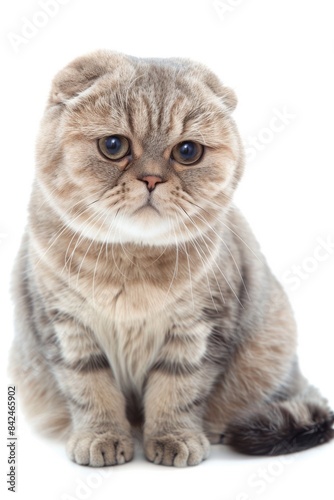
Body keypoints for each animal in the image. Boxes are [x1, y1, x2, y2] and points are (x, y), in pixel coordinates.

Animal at [8, 48, 334, 466]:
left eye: (187, 151)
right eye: (113, 146)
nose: (151, 180)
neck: (131, 264)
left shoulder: (200, 329)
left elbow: (177, 391)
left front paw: (173, 438)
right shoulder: (65, 327)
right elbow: (91, 390)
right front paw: (101, 437)